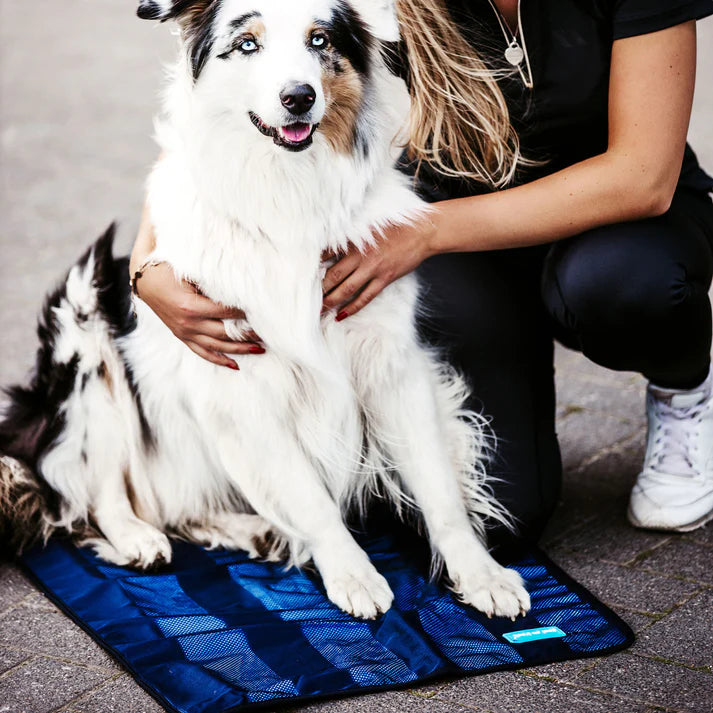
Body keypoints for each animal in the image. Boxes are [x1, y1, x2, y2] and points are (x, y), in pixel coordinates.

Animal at [0, 0, 528, 616]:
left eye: (320, 39)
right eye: (247, 43)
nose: (298, 96)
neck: (287, 193)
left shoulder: (392, 362)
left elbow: (438, 483)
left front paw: (481, 573)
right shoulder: (243, 384)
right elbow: (310, 496)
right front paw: (352, 573)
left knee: (175, 505)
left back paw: (249, 530)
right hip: (83, 327)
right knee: (85, 487)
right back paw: (137, 537)